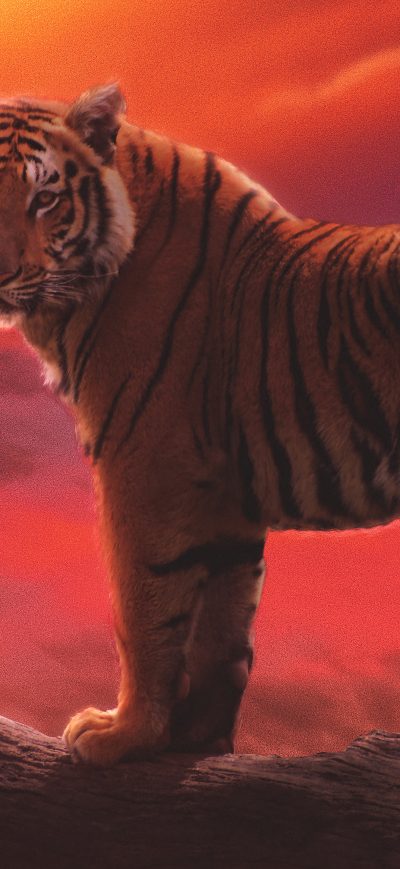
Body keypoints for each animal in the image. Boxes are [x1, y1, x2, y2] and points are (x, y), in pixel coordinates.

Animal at [0, 81, 399, 766]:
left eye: (45, 197)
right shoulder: (225, 494)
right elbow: (223, 629)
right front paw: (198, 742)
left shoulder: (145, 469)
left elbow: (143, 610)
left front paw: (123, 734)